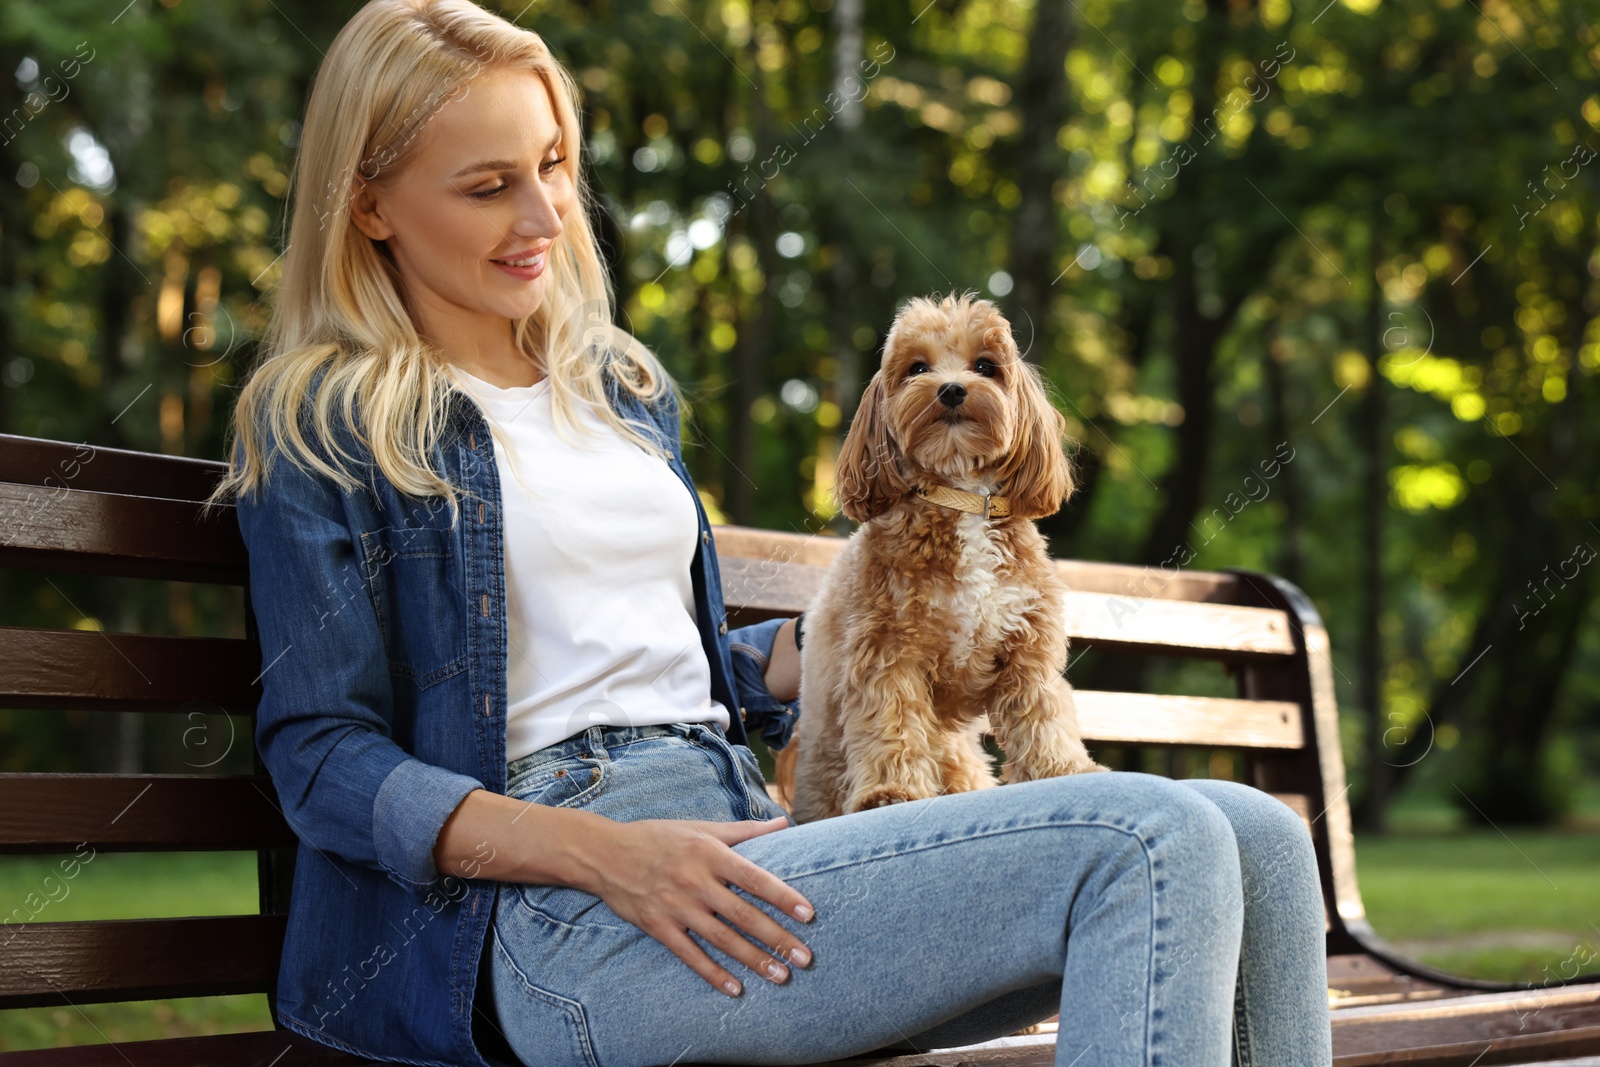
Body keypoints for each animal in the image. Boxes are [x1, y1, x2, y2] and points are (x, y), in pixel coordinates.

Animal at [777, 292, 1107, 825]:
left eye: (985, 366)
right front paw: (890, 791)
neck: (962, 497)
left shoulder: (1026, 646)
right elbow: (891, 723)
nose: (951, 390)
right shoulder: (887, 652)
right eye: (917, 367)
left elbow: (1041, 711)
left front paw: (1063, 769)